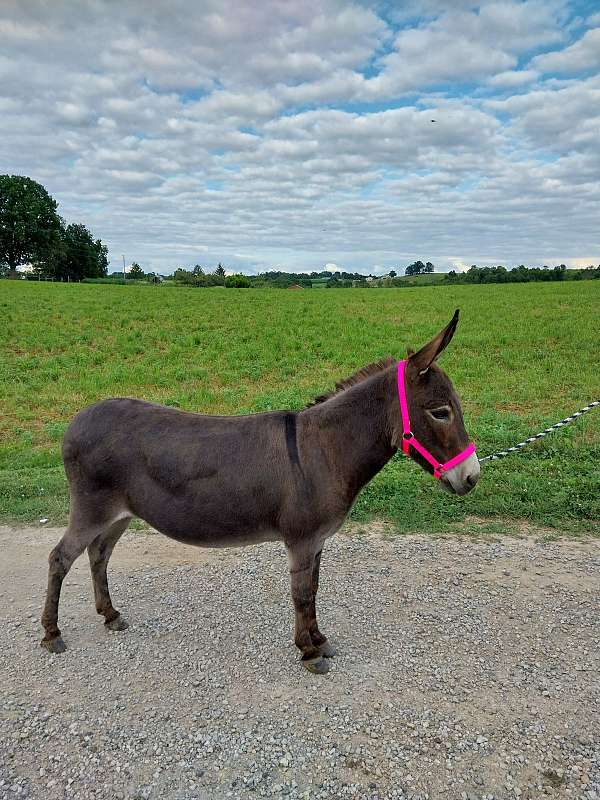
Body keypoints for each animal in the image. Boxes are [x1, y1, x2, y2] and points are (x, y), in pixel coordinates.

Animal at [41, 310, 479, 674]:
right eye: (441, 412)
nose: (473, 477)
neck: (324, 451)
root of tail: (77, 419)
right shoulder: (301, 541)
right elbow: (301, 593)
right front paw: (309, 652)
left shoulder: (317, 541)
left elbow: (314, 589)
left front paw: (319, 639)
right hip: (91, 508)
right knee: (61, 557)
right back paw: (51, 634)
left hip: (120, 513)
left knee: (98, 554)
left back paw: (110, 615)